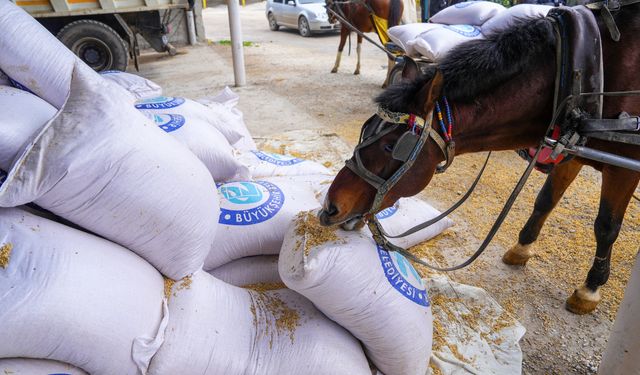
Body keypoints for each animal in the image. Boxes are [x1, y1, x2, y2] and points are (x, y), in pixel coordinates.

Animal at [318, 7, 640, 316]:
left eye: (390, 146)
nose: (330, 206)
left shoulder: (623, 170)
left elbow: (606, 226)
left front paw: (589, 289)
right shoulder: (571, 147)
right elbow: (546, 199)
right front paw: (522, 247)